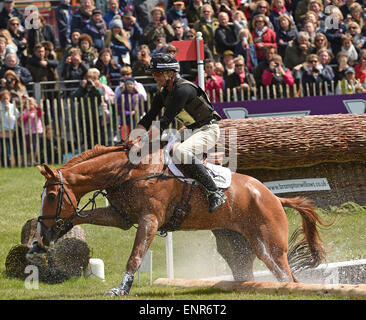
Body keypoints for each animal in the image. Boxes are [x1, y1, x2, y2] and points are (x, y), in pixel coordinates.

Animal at [27, 141, 326, 296]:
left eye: (52, 196)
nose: (43, 234)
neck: (130, 172)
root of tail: (274, 197)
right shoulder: (120, 216)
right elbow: (81, 217)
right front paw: (43, 240)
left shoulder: (149, 220)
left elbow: (135, 257)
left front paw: (121, 289)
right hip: (235, 245)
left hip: (268, 246)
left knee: (288, 276)